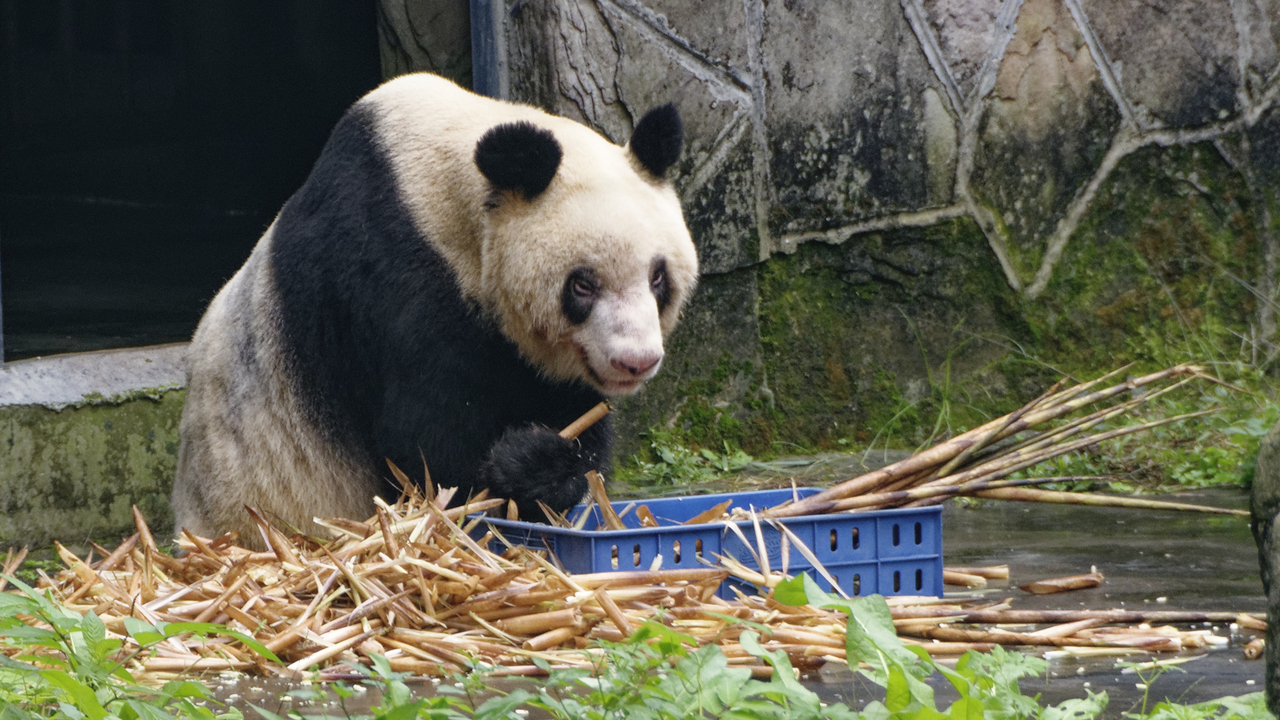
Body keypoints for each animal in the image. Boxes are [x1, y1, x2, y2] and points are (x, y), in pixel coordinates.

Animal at [171, 73, 698, 548]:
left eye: (658, 277)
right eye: (583, 284)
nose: (635, 361)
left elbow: (575, 417)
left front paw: (548, 464)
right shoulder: (391, 273)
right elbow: (429, 456)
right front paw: (521, 466)